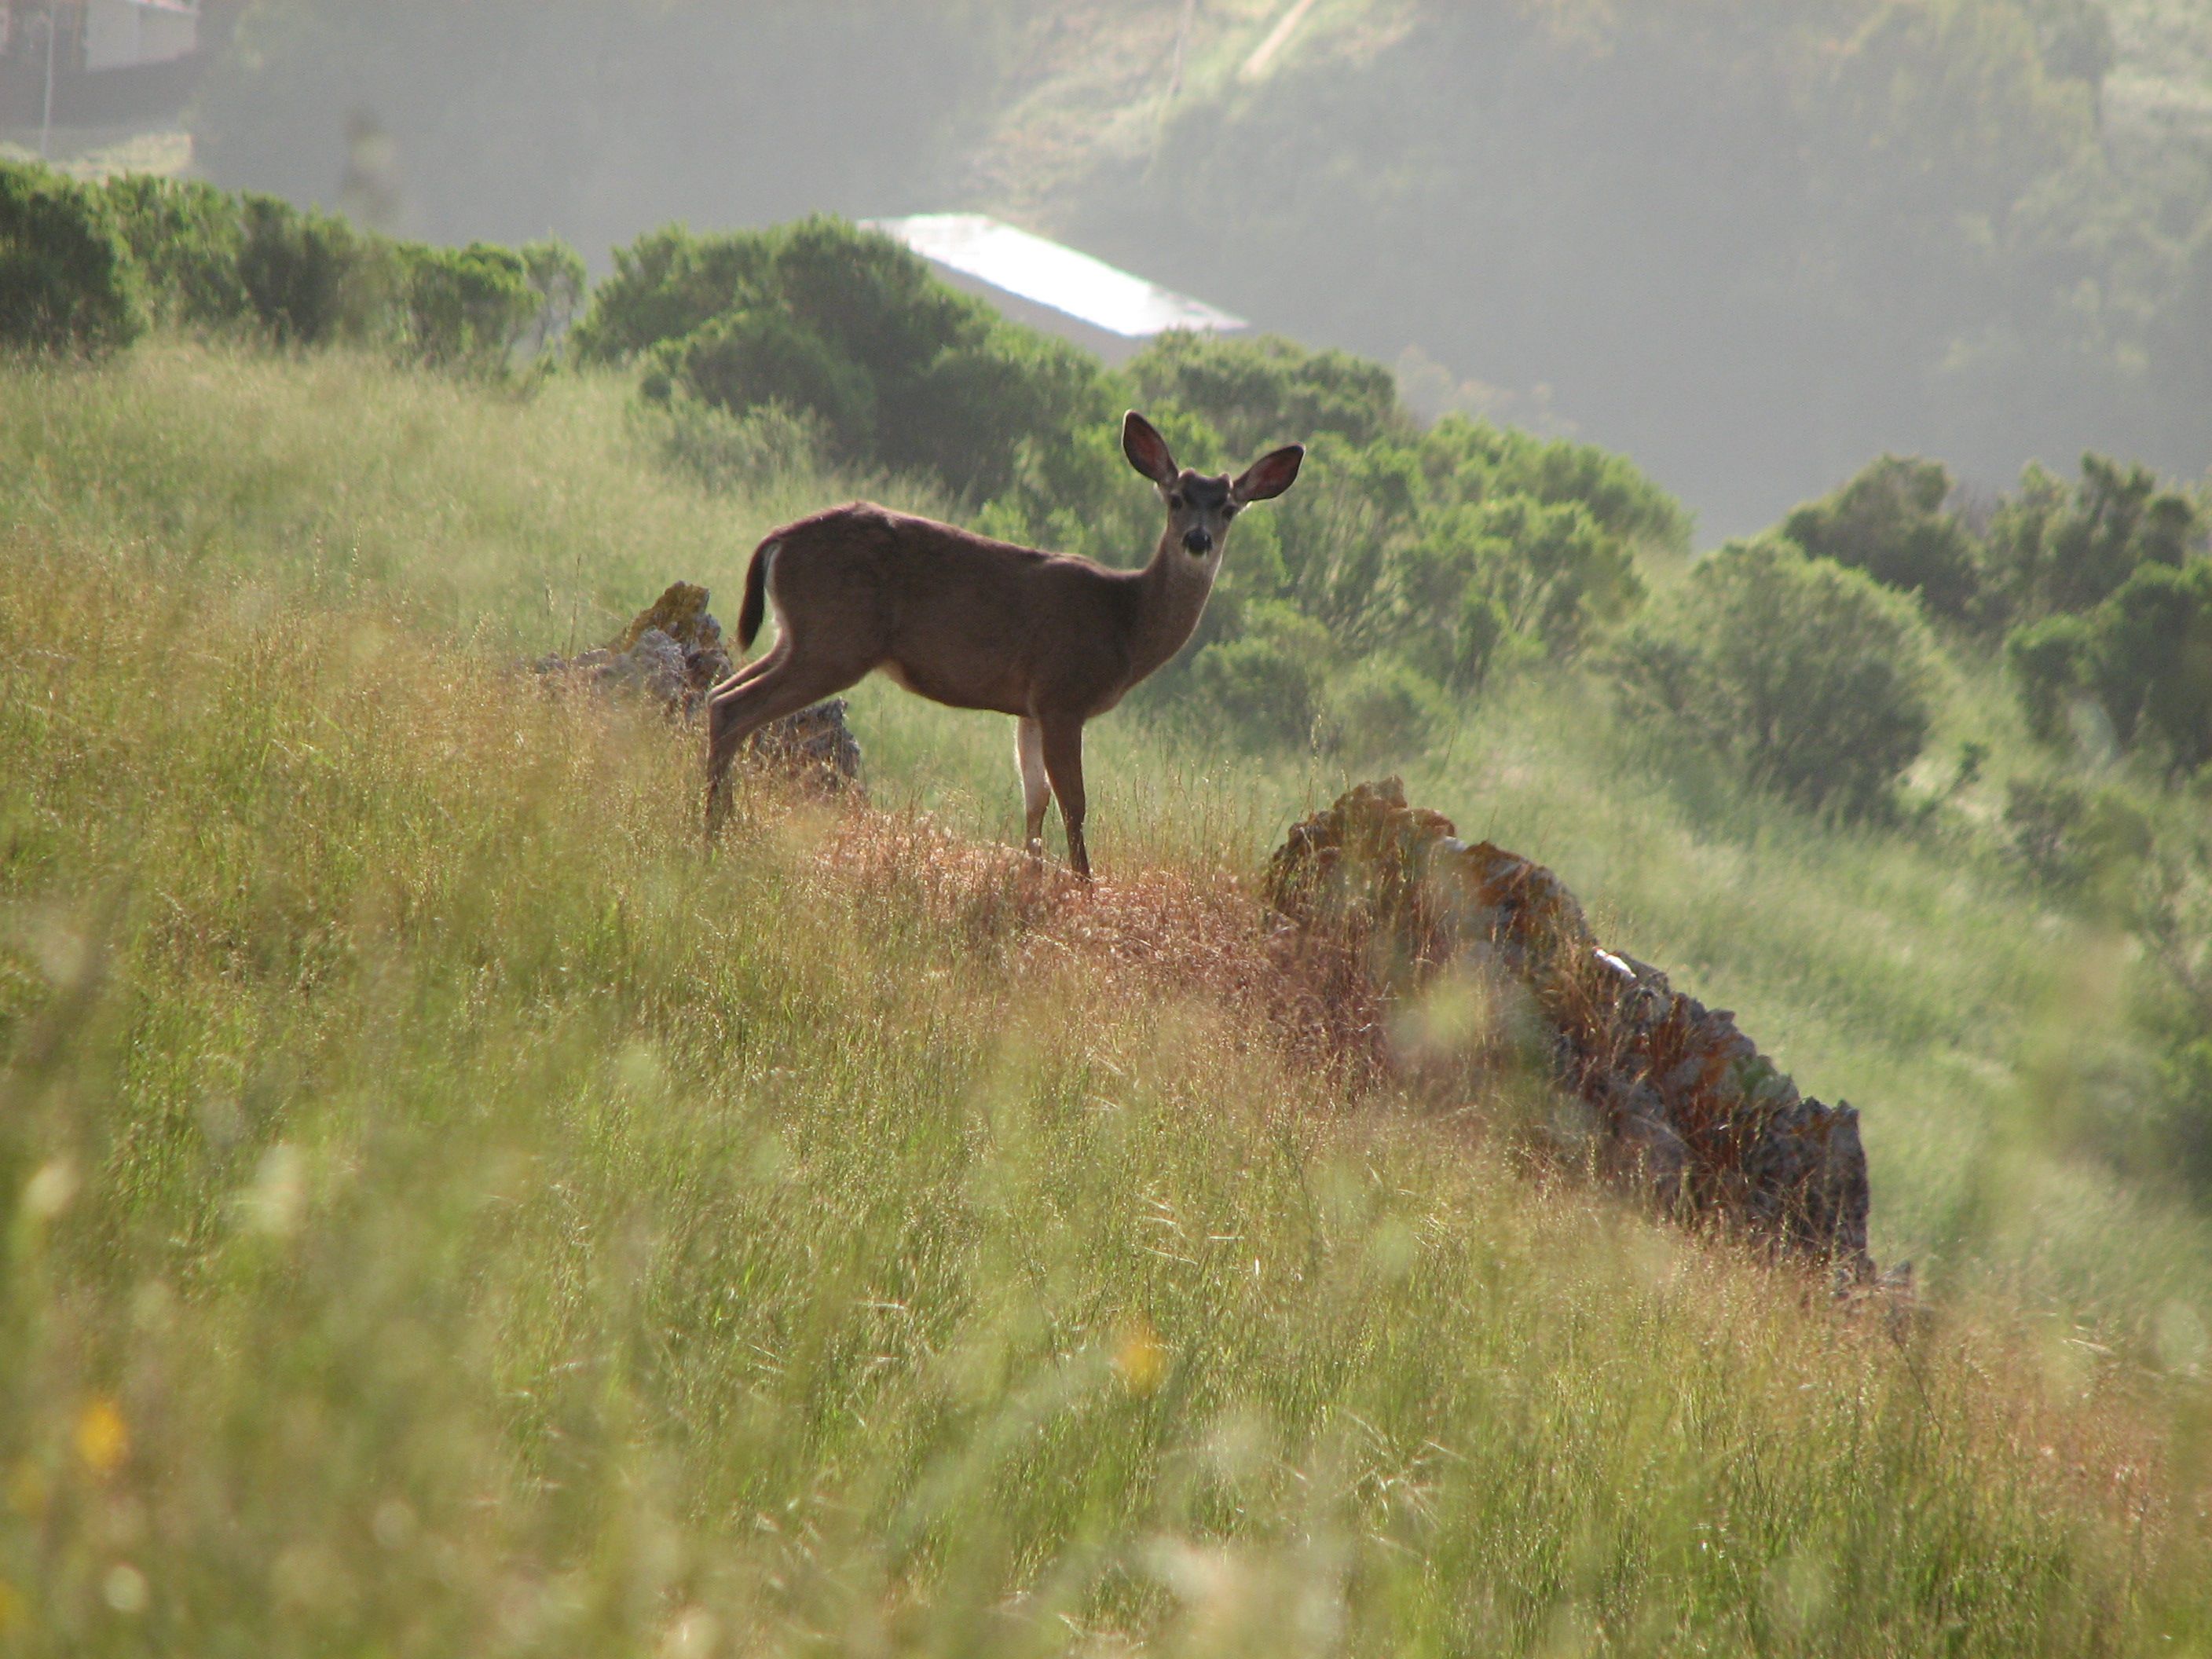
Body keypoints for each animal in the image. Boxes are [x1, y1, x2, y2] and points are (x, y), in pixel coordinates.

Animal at [698, 413, 1300, 884]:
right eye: (1175, 499)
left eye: (1228, 508)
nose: (1197, 540)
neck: (1126, 623)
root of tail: (777, 540)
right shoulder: (1063, 695)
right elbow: (1074, 805)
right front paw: (1085, 886)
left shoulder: (1030, 708)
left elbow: (1035, 802)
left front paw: (1034, 872)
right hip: (836, 641)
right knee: (735, 708)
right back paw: (714, 834)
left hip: (797, 635)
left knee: (721, 694)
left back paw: (722, 821)